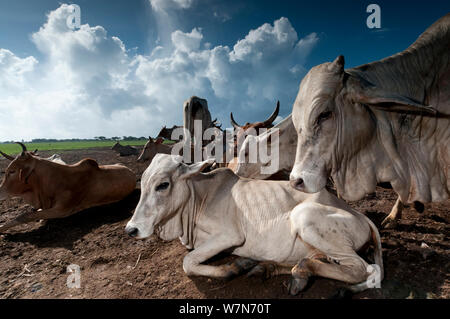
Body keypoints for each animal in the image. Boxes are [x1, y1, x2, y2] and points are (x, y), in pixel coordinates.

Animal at [125, 154, 384, 296]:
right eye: (143, 183)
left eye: (163, 185)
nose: (131, 229)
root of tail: (361, 215)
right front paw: (243, 264)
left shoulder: (231, 235)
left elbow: (188, 262)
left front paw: (232, 268)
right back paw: (267, 268)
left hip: (305, 217)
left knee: (361, 270)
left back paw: (296, 272)